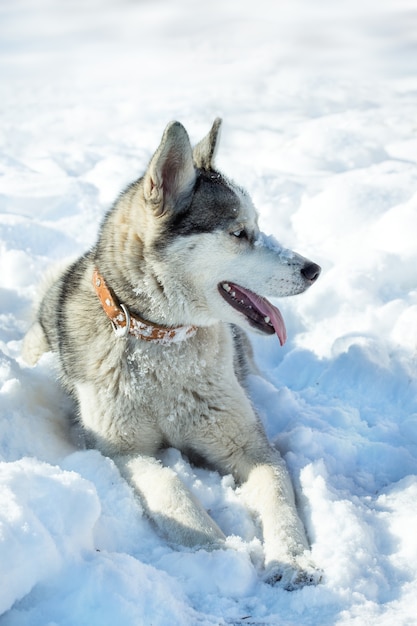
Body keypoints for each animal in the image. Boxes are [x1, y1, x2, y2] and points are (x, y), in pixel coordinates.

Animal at [22, 118, 322, 588]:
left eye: (258, 225)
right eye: (239, 233)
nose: (314, 269)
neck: (163, 339)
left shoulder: (248, 444)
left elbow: (278, 495)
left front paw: (291, 558)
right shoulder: (123, 450)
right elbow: (169, 487)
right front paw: (215, 551)